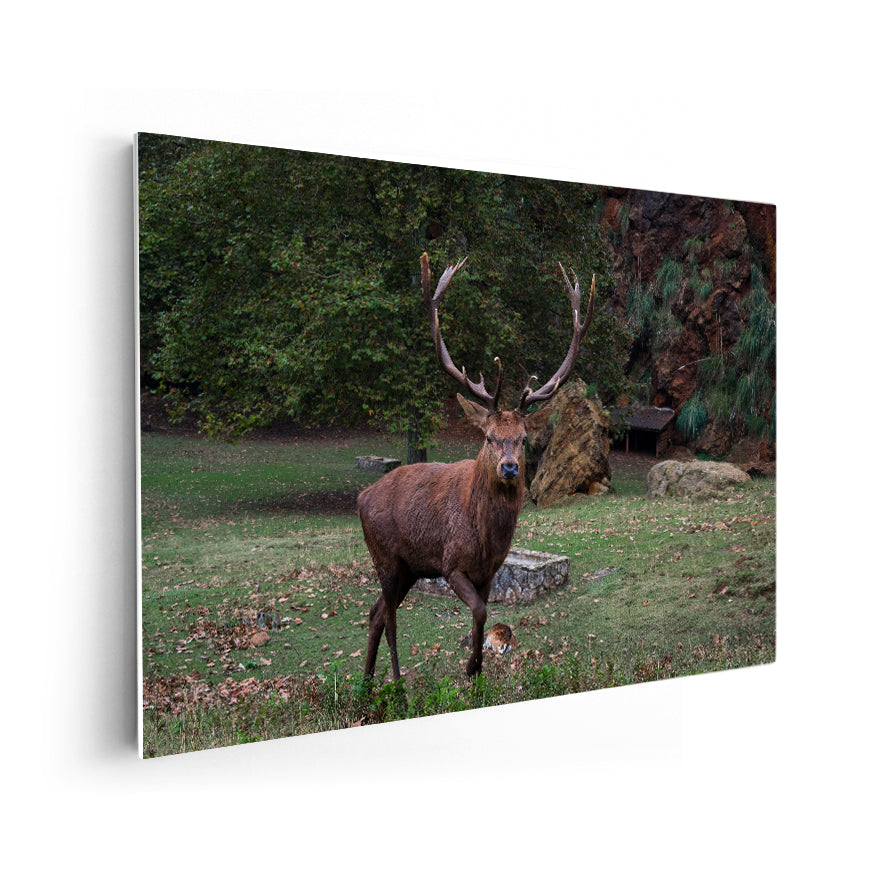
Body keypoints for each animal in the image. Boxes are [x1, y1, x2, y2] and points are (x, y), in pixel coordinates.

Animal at [356, 252, 595, 680]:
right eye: (488, 437)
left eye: (523, 438)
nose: (510, 468)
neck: (487, 537)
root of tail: (360, 498)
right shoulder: (451, 563)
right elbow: (481, 612)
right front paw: (470, 665)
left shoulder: (489, 572)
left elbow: (481, 616)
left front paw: (477, 667)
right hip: (385, 556)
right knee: (390, 617)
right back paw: (395, 682)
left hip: (409, 568)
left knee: (376, 612)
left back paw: (367, 683)